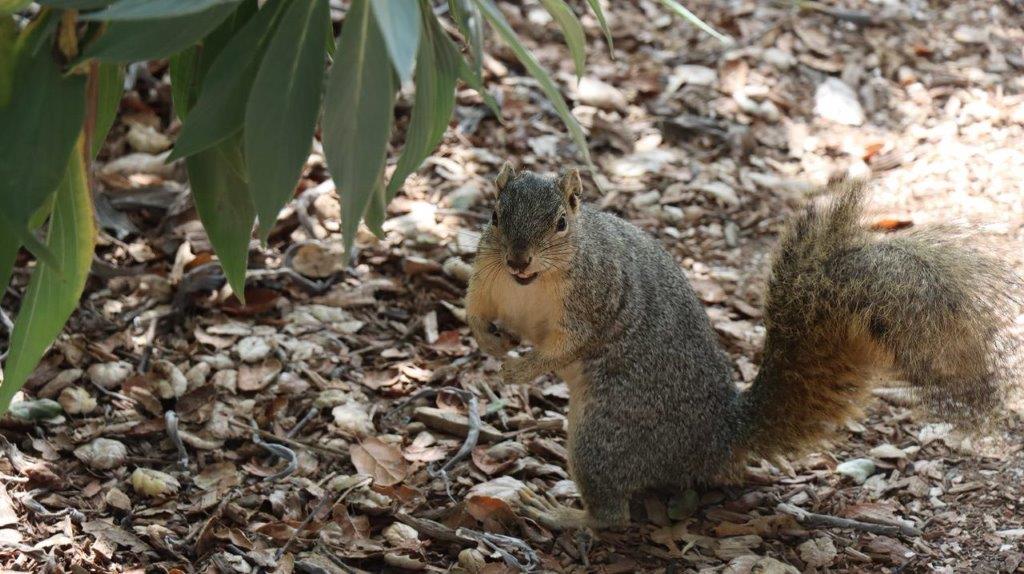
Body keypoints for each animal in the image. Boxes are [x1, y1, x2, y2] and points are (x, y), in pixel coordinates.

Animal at [468, 163, 1019, 532]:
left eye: (560, 223)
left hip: (606, 436)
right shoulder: (487, 282)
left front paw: (520, 370)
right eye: (493, 216)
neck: (528, 286)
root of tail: (720, 437)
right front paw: (487, 344)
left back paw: (562, 514)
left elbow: (570, 345)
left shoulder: (592, 296)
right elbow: (474, 311)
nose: (517, 258)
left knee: (613, 516)